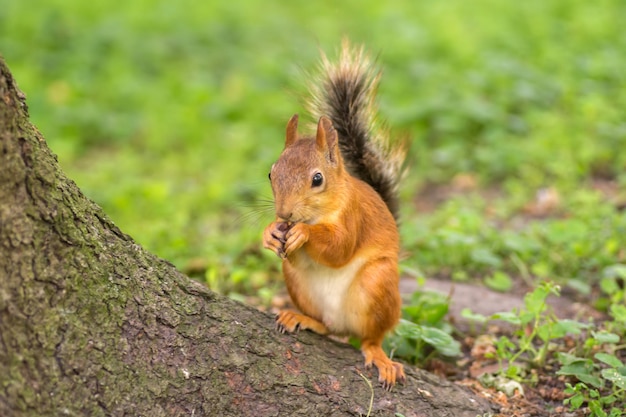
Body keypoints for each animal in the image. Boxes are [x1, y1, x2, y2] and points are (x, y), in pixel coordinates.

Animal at [262, 40, 404, 388]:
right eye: (271, 173)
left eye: (317, 179)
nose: (284, 212)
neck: (318, 214)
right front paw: (270, 232)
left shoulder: (354, 217)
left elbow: (339, 248)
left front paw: (303, 233)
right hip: (299, 286)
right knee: (326, 326)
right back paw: (302, 319)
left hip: (377, 283)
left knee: (372, 338)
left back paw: (380, 357)